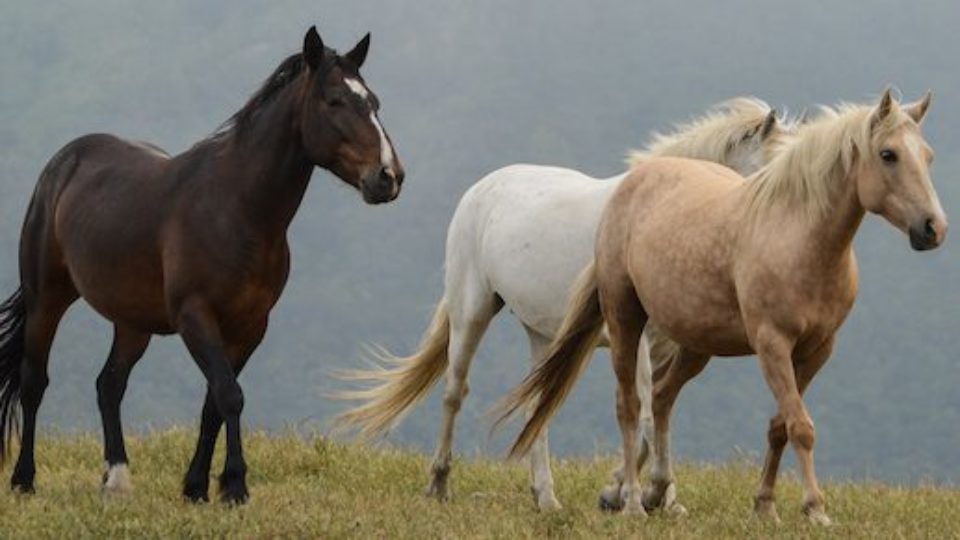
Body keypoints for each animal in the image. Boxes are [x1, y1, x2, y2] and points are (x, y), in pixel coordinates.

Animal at [0, 25, 404, 504]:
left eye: (374, 102)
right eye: (334, 101)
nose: (388, 176)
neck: (238, 208)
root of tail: (63, 163)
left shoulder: (250, 326)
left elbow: (213, 404)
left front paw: (196, 487)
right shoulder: (195, 316)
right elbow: (230, 395)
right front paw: (234, 485)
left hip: (133, 323)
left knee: (109, 386)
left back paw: (116, 478)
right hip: (47, 299)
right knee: (34, 381)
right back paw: (24, 479)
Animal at [335, 98, 795, 511]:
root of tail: (481, 189)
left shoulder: (663, 347)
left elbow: (657, 412)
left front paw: (640, 494)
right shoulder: (637, 340)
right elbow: (647, 413)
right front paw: (634, 494)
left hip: (543, 333)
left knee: (536, 405)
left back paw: (545, 497)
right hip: (472, 311)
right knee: (454, 392)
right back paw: (439, 484)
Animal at [496, 89, 944, 524]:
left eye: (927, 156)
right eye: (888, 154)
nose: (933, 227)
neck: (796, 237)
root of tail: (634, 182)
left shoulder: (817, 350)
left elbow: (779, 425)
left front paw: (764, 505)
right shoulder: (772, 344)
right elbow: (800, 426)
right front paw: (815, 509)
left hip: (695, 345)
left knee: (662, 399)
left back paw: (658, 491)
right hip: (625, 318)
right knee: (631, 406)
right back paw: (634, 503)